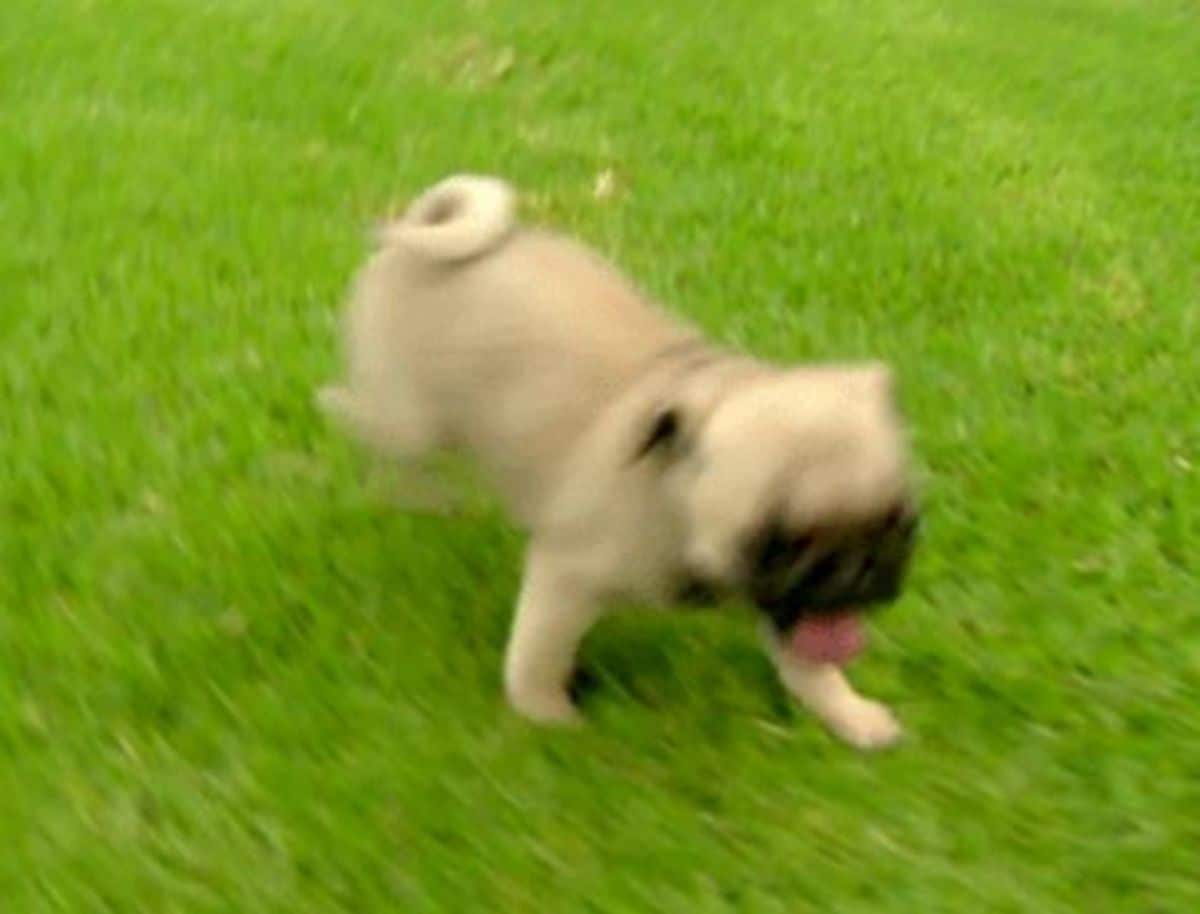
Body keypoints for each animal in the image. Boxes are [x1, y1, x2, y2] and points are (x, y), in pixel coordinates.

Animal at [319, 172, 916, 748]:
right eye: (778, 540)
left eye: (902, 525)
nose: (859, 568)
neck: (673, 493)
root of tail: (419, 233)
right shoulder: (564, 579)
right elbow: (537, 659)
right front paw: (548, 718)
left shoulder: (797, 609)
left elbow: (808, 666)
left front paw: (850, 715)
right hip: (407, 419)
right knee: (379, 433)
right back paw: (369, 438)